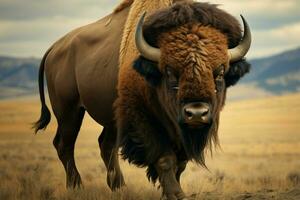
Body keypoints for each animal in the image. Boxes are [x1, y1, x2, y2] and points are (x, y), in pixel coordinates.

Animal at [34, 0, 251, 200]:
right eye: (170, 72)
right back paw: (77, 187)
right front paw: (176, 194)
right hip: (69, 112)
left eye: (220, 73)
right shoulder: (143, 120)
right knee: (65, 145)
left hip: (110, 119)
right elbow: (165, 158)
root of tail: (54, 48)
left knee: (105, 145)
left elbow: (180, 163)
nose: (196, 113)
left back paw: (120, 188)